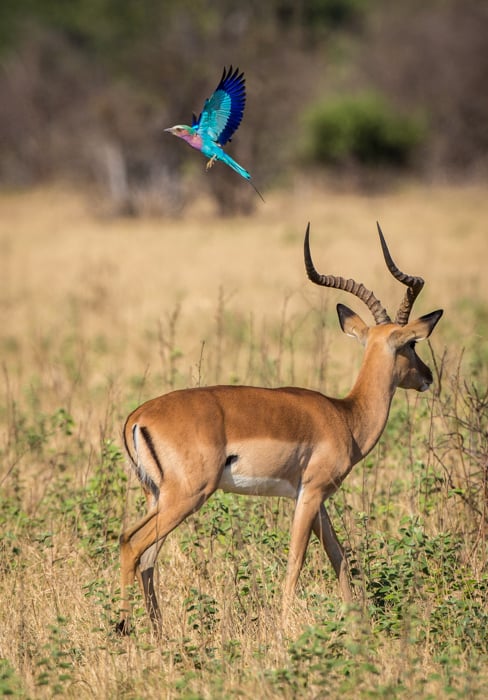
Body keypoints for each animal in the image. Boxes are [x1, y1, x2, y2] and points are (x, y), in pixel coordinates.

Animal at [116, 223, 443, 635]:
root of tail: (138, 416)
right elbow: (297, 560)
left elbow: (338, 556)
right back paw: (124, 629)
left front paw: (357, 622)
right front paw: (286, 627)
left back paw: (158, 633)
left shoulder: (316, 499)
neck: (345, 416)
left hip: (158, 496)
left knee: (147, 558)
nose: (428, 376)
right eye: (412, 343)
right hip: (187, 496)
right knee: (131, 542)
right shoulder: (311, 493)